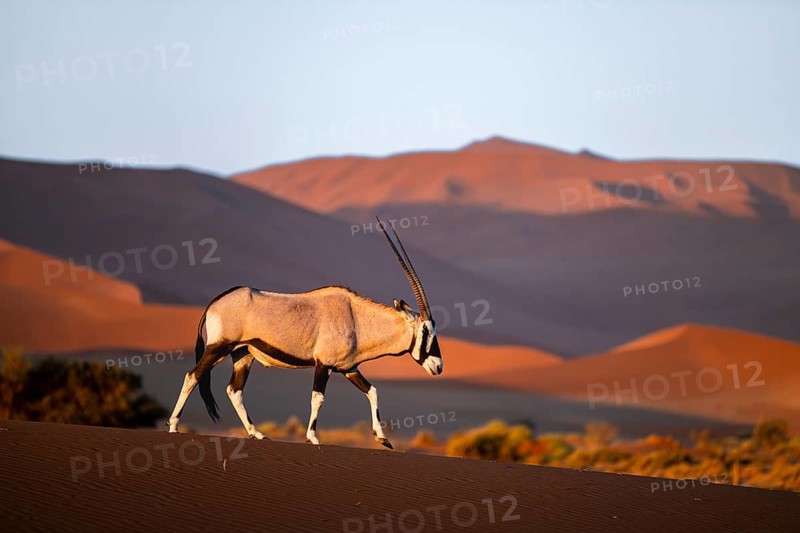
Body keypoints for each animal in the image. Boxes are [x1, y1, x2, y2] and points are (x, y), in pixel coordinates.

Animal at [167, 219, 443, 448]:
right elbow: (318, 398)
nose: (439, 366)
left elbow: (372, 391)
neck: (356, 318)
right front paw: (313, 437)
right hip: (219, 348)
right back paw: (173, 426)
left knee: (234, 390)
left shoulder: (348, 368)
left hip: (243, 354)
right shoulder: (324, 365)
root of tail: (214, 303)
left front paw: (382, 438)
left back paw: (256, 433)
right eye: (426, 330)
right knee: (193, 376)